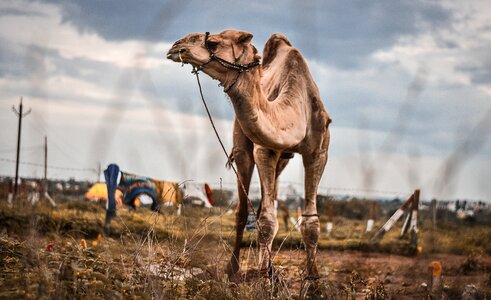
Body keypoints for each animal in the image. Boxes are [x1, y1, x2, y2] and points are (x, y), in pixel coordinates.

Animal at [167, 29, 332, 278]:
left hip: (282, 160)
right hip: (243, 147)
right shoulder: (264, 150)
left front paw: (313, 277)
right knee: (244, 211)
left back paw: (269, 268)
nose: (176, 46)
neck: (296, 109)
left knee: (265, 203)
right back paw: (234, 269)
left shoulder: (318, 152)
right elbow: (266, 220)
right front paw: (263, 277)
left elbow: (311, 223)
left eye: (213, 43)